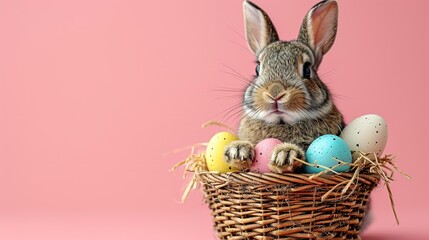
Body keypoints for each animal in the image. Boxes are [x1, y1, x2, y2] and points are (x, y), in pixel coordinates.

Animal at [224, 0, 344, 172]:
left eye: (307, 69)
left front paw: (286, 154)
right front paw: (238, 150)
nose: (275, 93)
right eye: (257, 68)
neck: (281, 122)